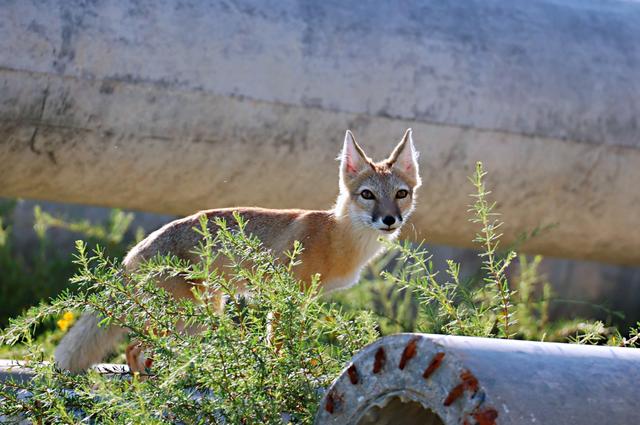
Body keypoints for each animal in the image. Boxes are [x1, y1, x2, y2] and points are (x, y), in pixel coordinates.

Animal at [55, 127, 422, 372]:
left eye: (401, 194)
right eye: (367, 195)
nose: (390, 219)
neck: (336, 236)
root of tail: (135, 250)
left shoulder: (303, 300)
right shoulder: (285, 297)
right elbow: (278, 345)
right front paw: (284, 374)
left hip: (201, 314)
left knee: (144, 349)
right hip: (191, 317)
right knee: (133, 348)